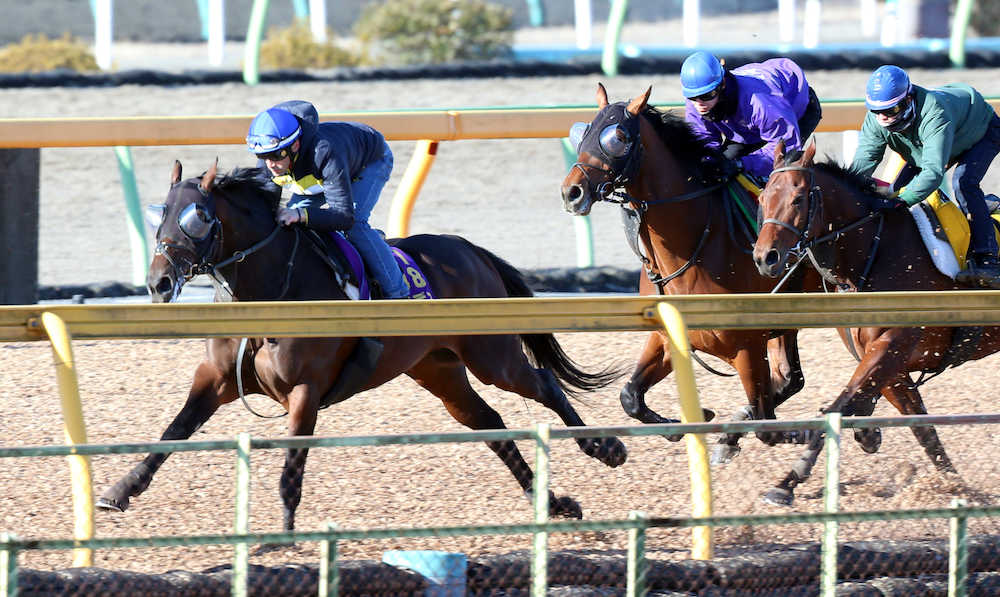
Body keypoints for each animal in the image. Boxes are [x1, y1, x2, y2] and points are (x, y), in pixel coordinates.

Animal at [95, 161, 624, 528]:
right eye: (159, 214)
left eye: (197, 217)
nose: (159, 283)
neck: (268, 290)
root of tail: (471, 250)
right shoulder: (216, 379)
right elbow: (172, 432)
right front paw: (119, 489)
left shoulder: (304, 390)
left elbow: (291, 467)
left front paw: (281, 538)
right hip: (438, 369)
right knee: (488, 423)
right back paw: (552, 501)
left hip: (490, 356)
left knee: (544, 383)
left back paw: (605, 447)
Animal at [556, 84, 820, 464]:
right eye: (585, 132)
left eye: (618, 137)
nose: (571, 192)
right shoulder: (670, 337)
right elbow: (630, 396)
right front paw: (691, 421)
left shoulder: (747, 345)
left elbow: (766, 423)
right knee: (790, 379)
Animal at [752, 140, 976, 502]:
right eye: (762, 199)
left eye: (798, 199)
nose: (764, 258)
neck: (874, 250)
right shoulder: (891, 365)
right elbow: (923, 429)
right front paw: (959, 488)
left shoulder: (891, 347)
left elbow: (838, 408)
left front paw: (789, 480)